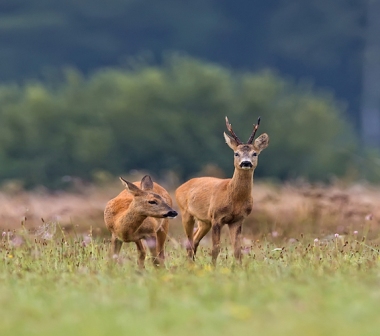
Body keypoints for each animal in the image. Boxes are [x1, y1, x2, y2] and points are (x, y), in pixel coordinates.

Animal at [176, 117, 268, 264]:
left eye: (255, 153)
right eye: (236, 153)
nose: (246, 163)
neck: (232, 196)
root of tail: (180, 187)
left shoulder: (238, 220)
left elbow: (237, 251)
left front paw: (239, 267)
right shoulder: (216, 217)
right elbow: (215, 248)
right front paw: (213, 267)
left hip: (204, 221)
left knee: (194, 241)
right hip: (186, 213)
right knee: (189, 242)